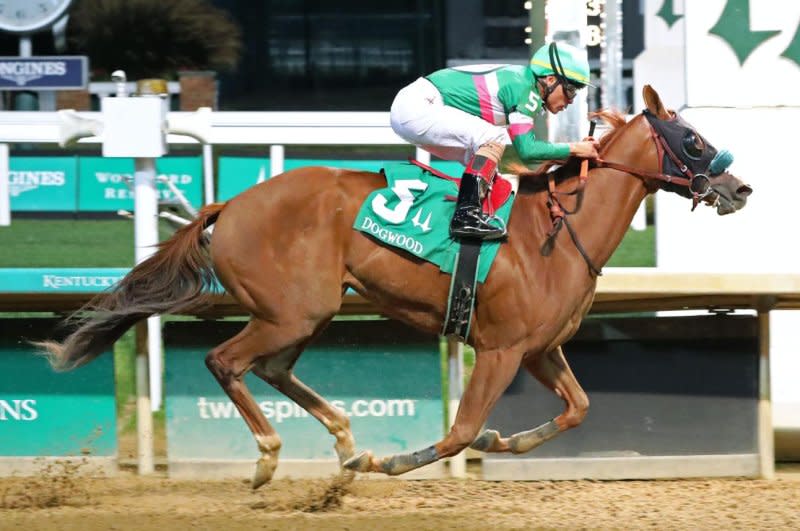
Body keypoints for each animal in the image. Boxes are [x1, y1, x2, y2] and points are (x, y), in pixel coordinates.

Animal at [37, 87, 752, 490]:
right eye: (692, 138)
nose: (739, 187)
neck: (554, 233)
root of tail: (231, 203)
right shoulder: (499, 350)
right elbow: (460, 431)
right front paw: (400, 464)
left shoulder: (540, 349)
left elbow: (578, 408)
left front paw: (505, 443)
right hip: (290, 312)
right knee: (225, 361)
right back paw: (271, 456)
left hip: (307, 312)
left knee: (270, 368)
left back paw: (345, 440)